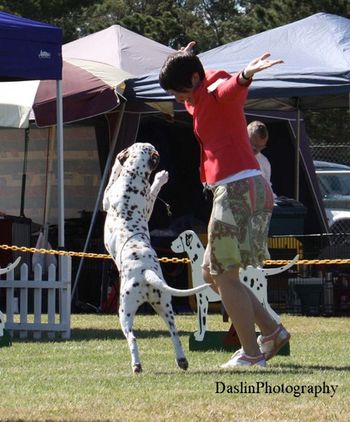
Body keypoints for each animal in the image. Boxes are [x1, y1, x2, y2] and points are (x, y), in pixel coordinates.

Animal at [102, 143, 209, 372]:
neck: (132, 178)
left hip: (124, 312)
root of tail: (146, 272)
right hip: (165, 308)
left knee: (132, 338)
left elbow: (114, 175)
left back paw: (136, 365)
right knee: (174, 334)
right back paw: (182, 360)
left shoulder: (108, 197)